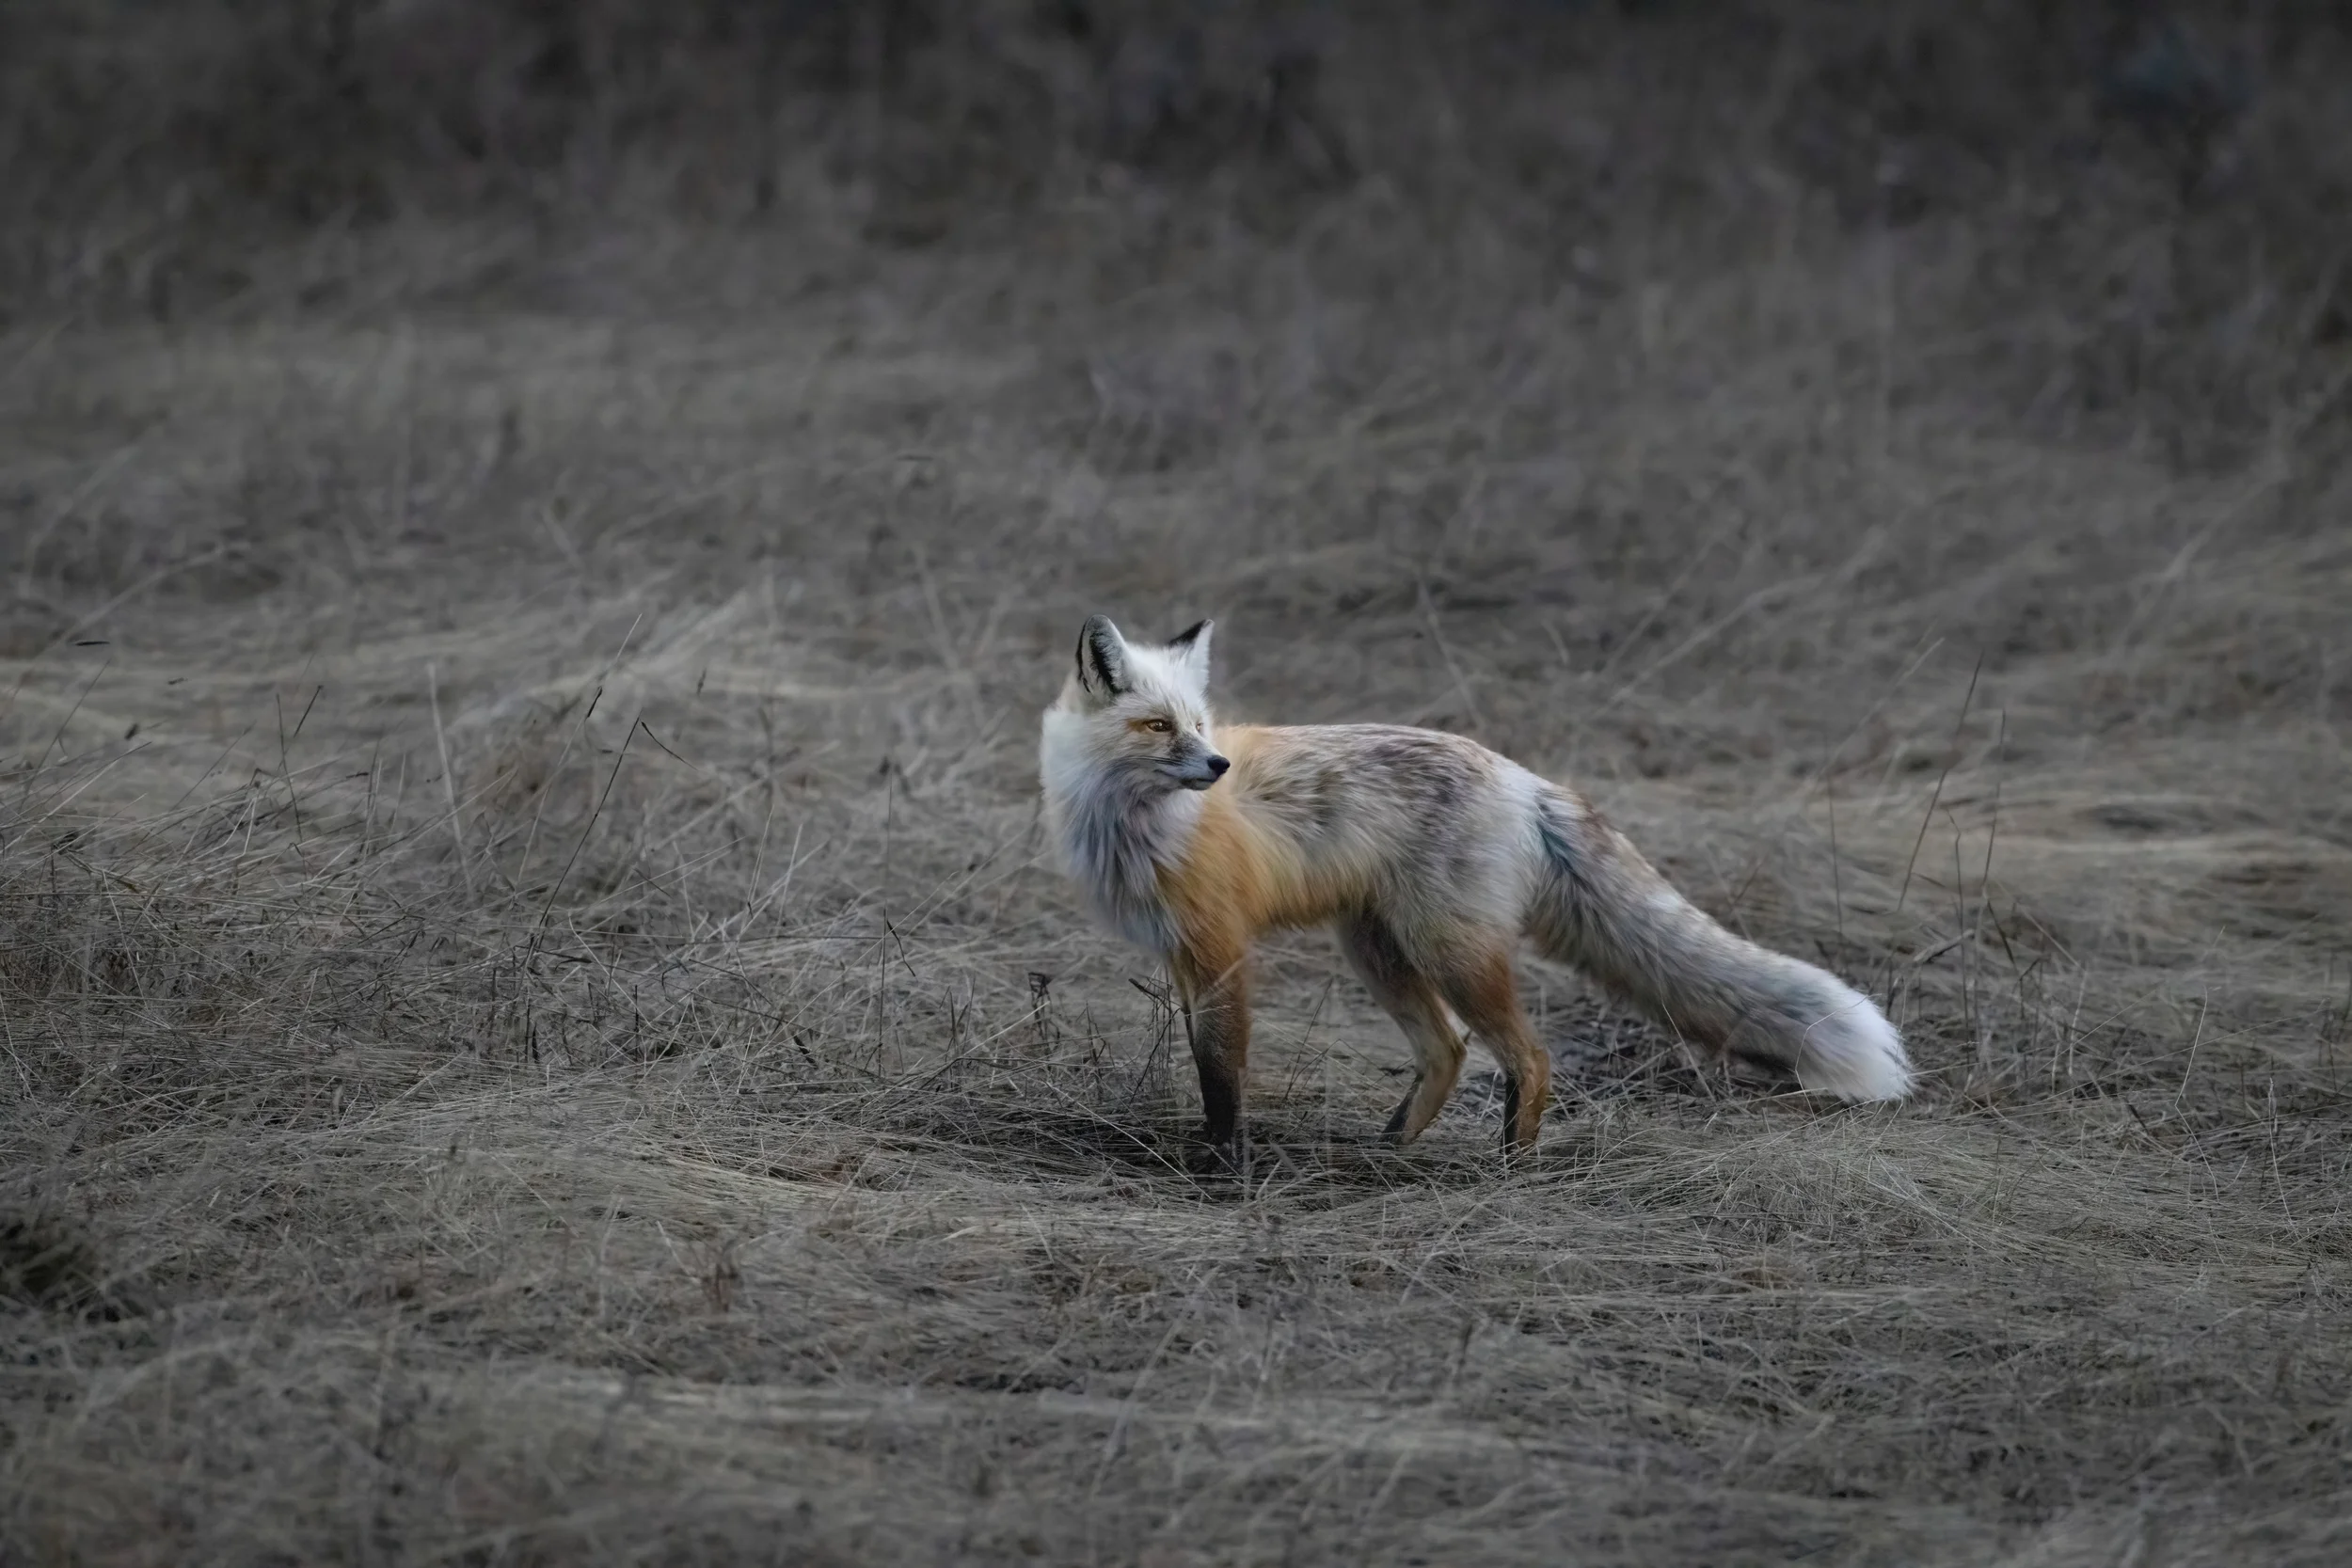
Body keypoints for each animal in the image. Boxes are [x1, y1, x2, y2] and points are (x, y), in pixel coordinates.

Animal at [1038, 614, 1913, 1159]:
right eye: (1160, 726)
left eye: (1201, 724)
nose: (1218, 766)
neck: (1134, 825)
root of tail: (1522, 776)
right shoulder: (1179, 954)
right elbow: (1202, 1058)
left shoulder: (1219, 947)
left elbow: (1221, 1071)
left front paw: (1221, 1163)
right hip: (1380, 949)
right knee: (1450, 1049)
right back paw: (1394, 1147)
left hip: (1448, 951)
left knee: (1530, 1056)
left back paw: (1512, 1163)